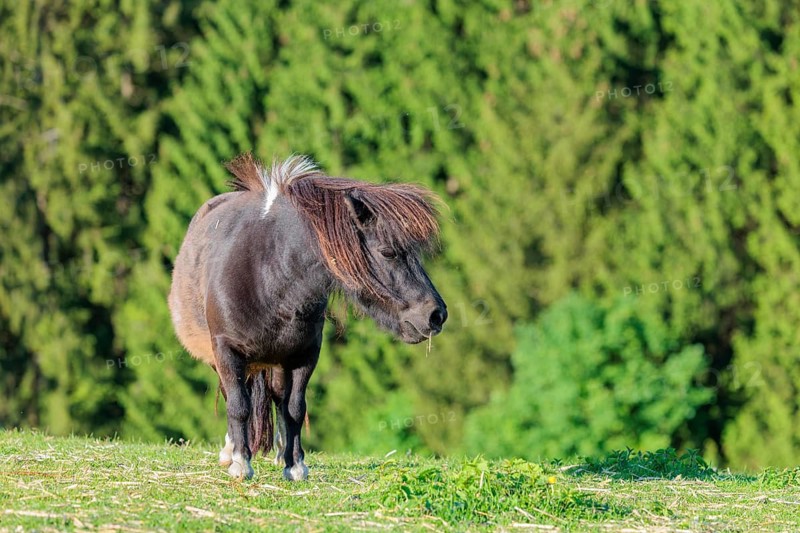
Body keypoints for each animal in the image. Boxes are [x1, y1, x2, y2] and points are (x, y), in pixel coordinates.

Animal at [168, 153, 447, 481]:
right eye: (388, 252)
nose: (436, 315)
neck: (268, 273)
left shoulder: (304, 355)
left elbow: (295, 408)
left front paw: (295, 464)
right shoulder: (226, 351)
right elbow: (238, 405)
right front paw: (240, 462)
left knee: (278, 399)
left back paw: (280, 452)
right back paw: (230, 451)